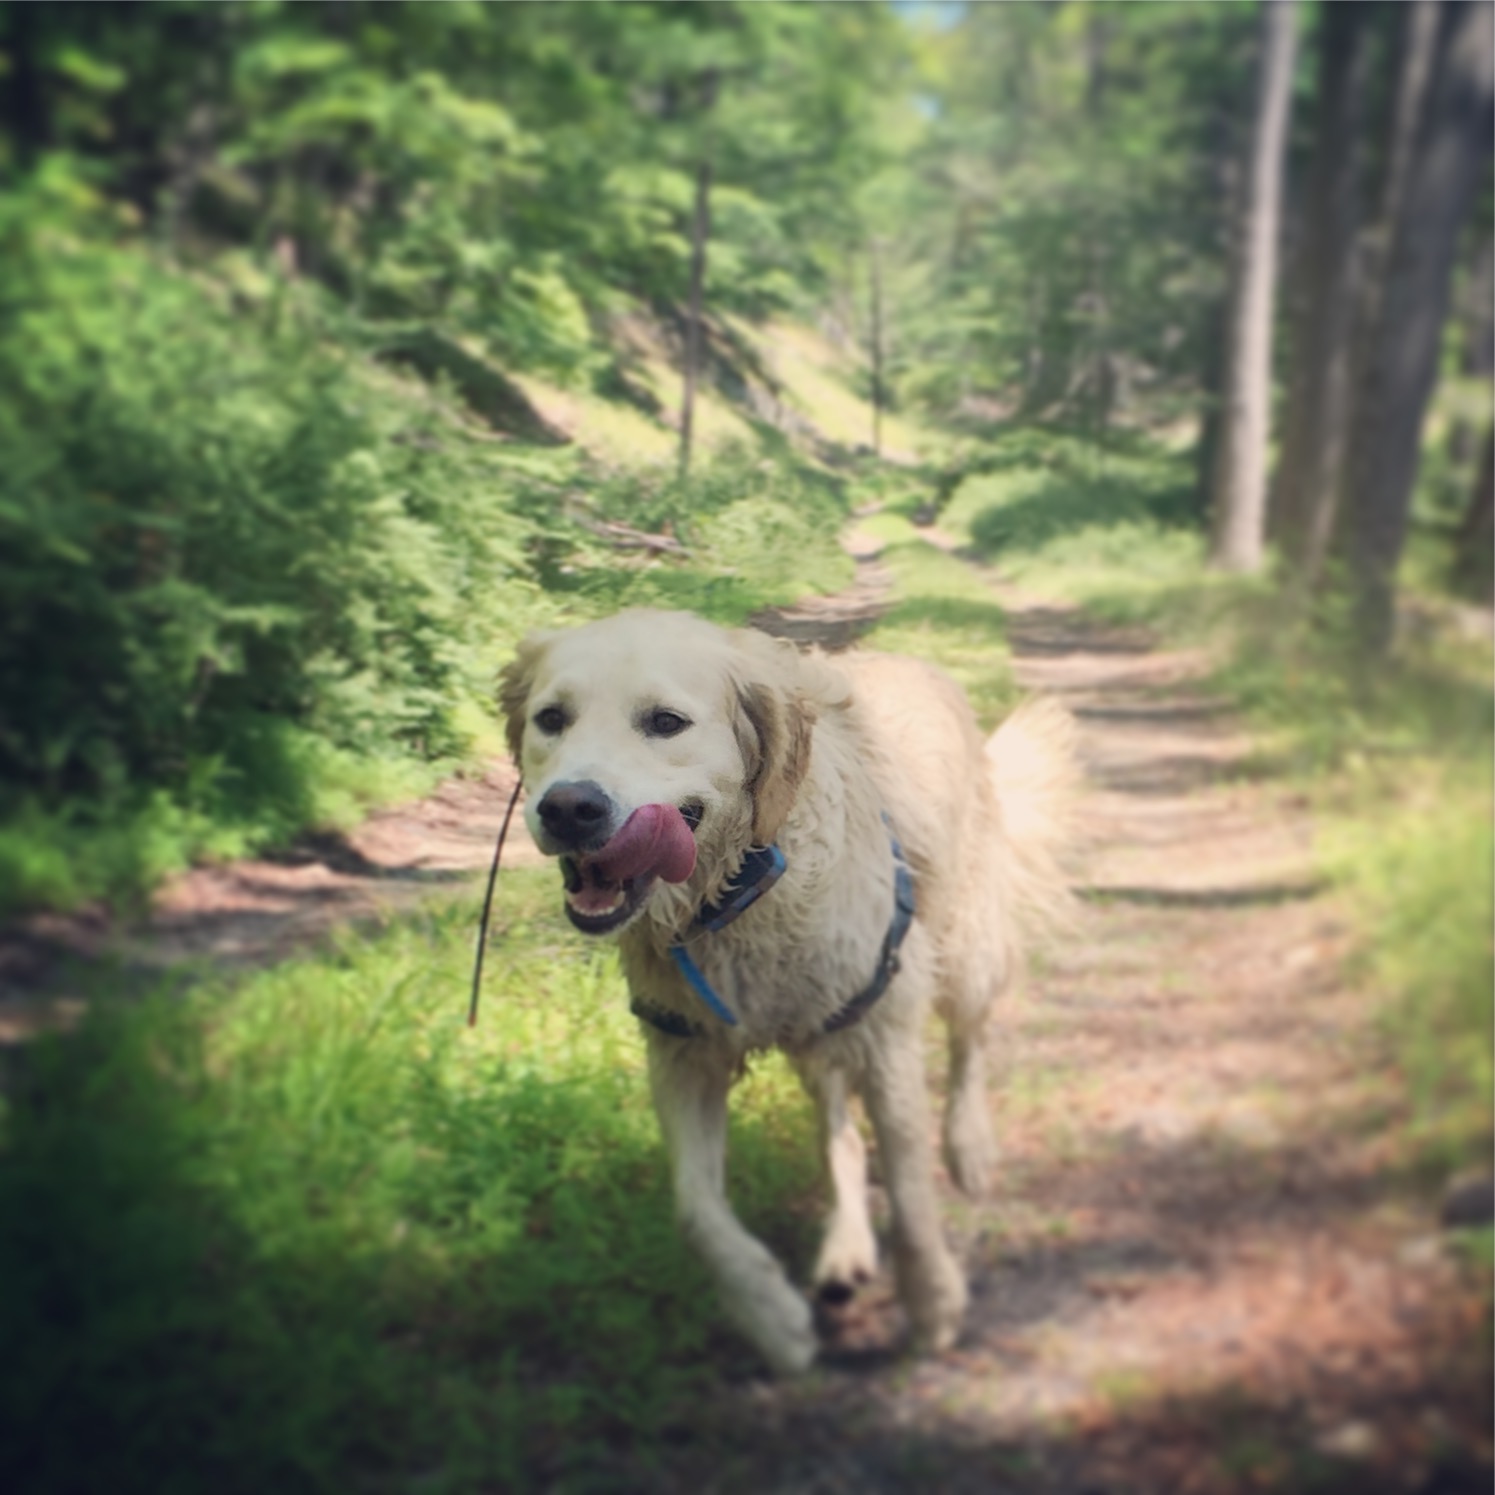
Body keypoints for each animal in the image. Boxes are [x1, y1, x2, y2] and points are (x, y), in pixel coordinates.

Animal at [499, 608, 1074, 1374]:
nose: (568, 807)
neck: (743, 884)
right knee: (839, 1134)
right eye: (551, 718)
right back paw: (845, 1246)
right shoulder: (683, 1051)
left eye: (665, 722)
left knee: (969, 1042)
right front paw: (770, 1316)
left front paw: (932, 1301)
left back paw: (970, 1145)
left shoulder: (883, 1029)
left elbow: (911, 1196)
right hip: (820, 1030)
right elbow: (695, 1210)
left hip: (959, 948)